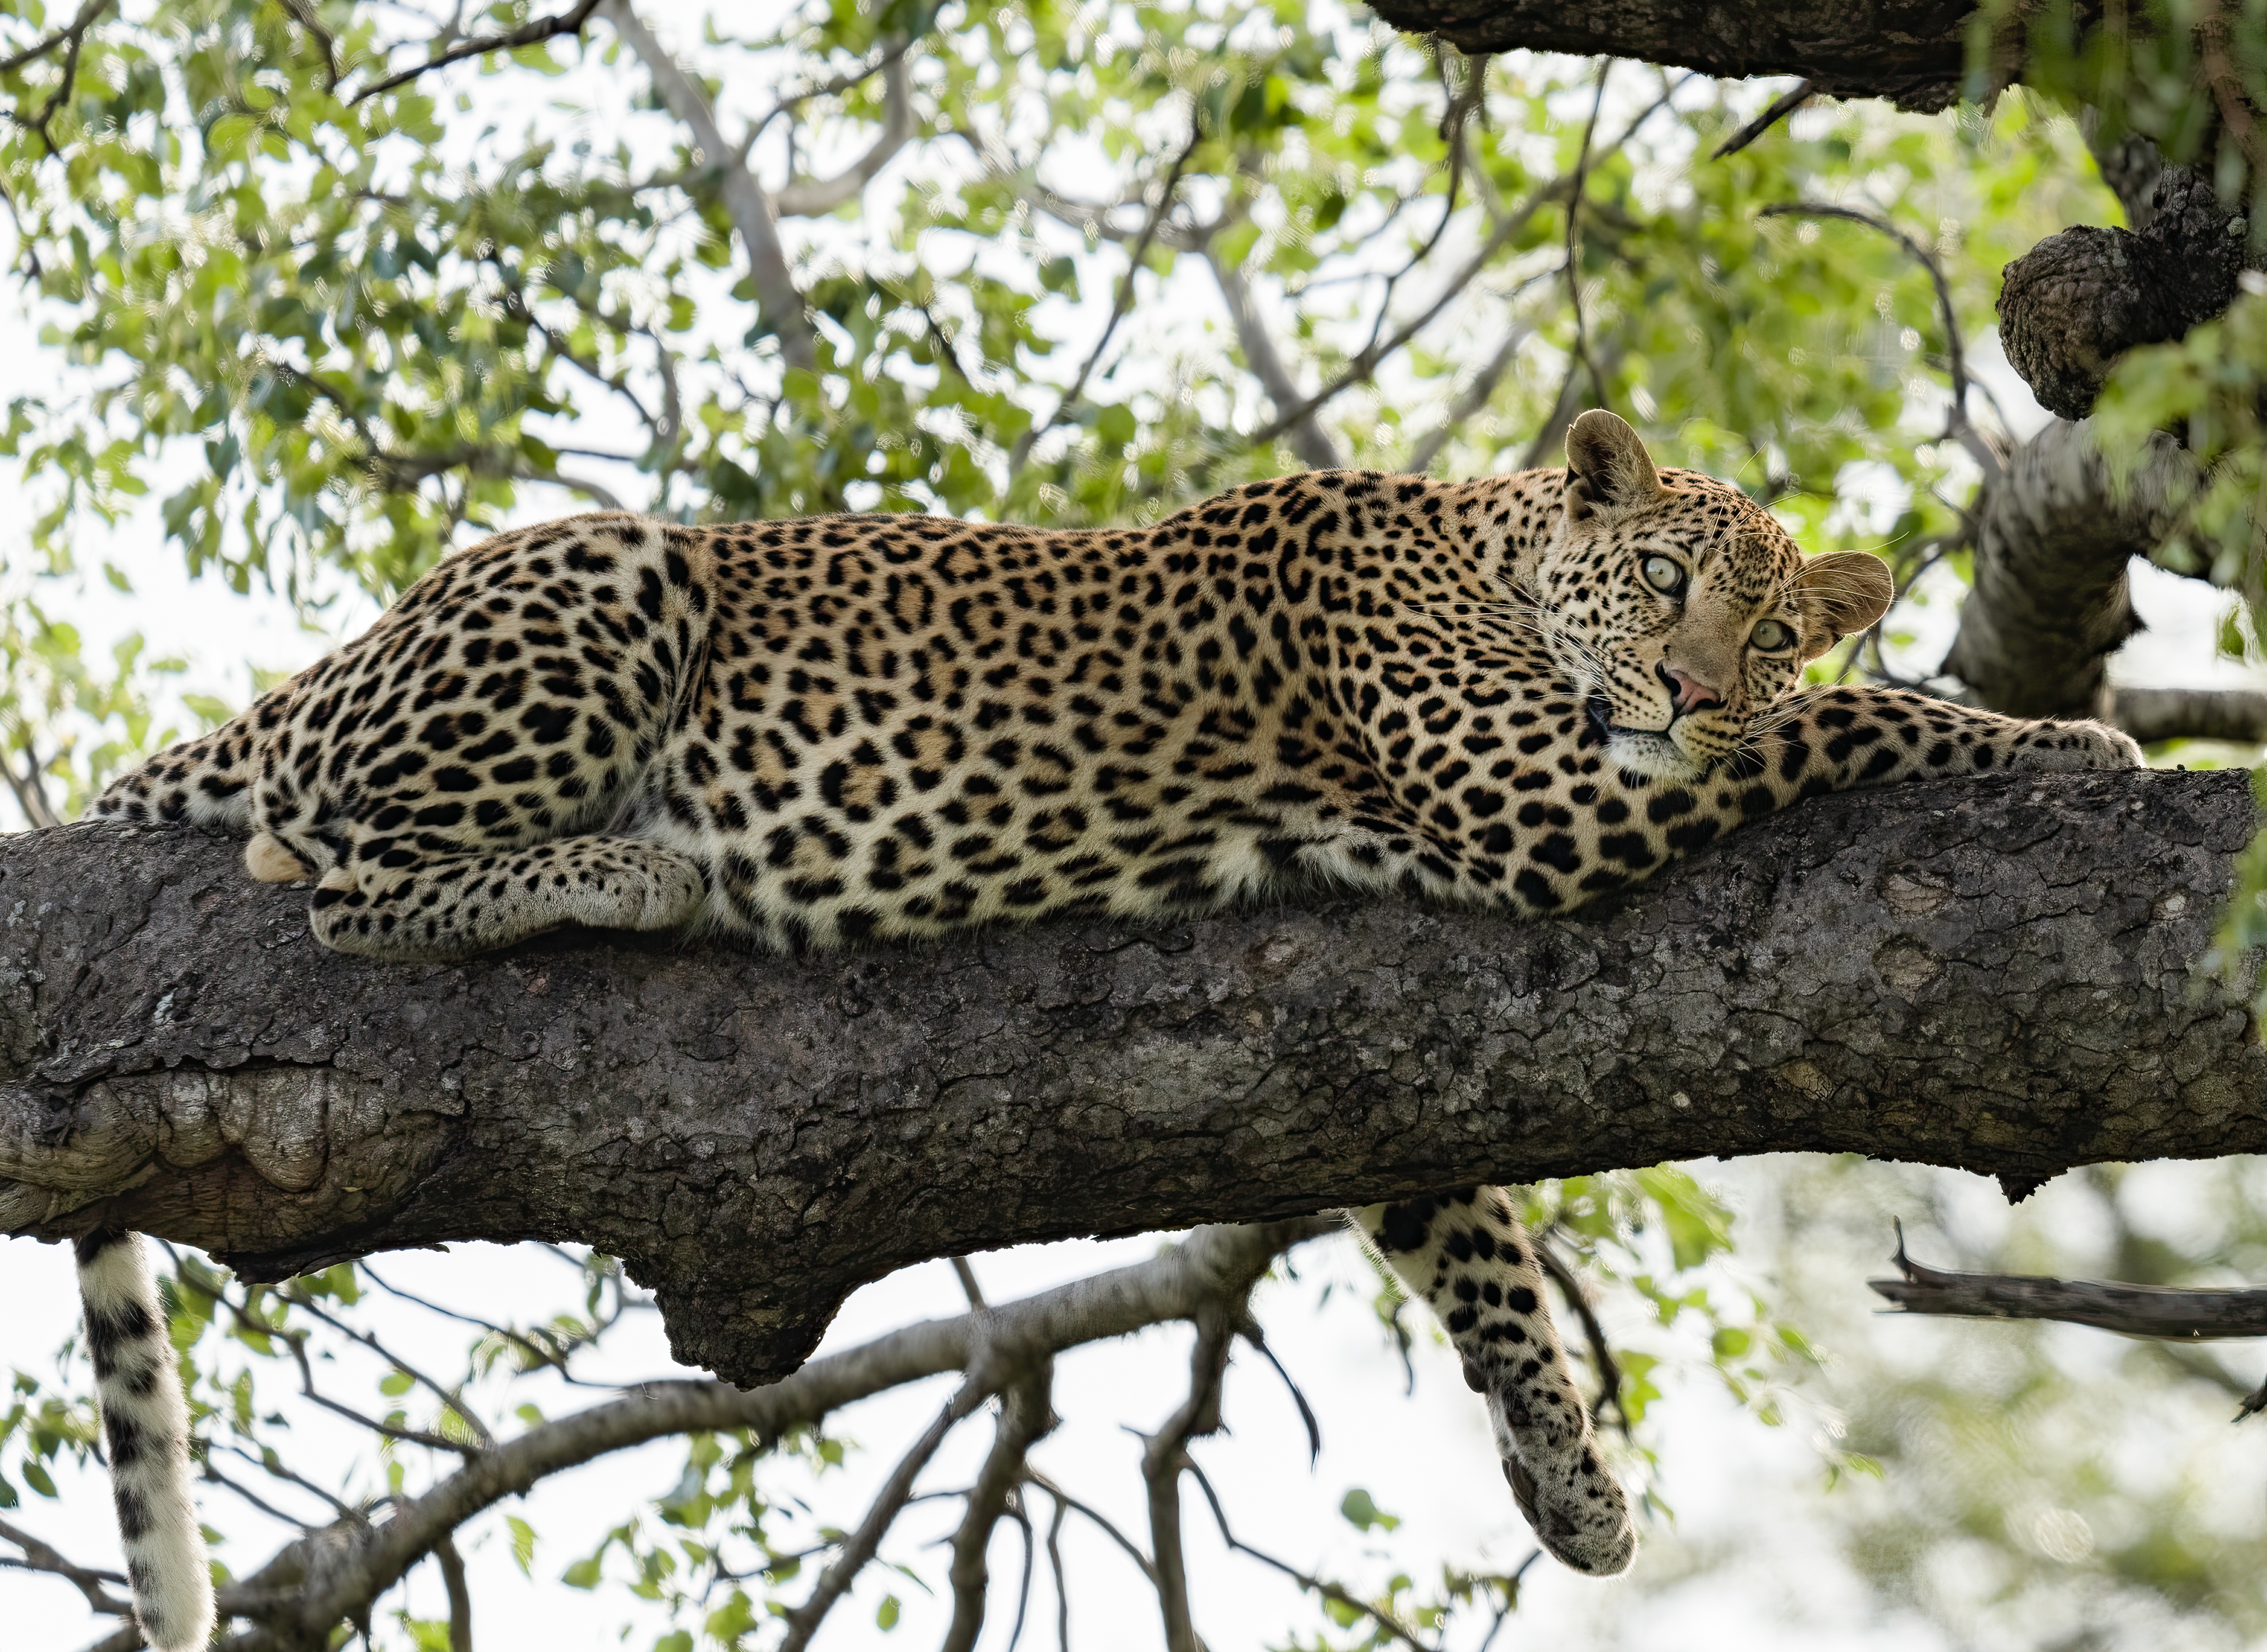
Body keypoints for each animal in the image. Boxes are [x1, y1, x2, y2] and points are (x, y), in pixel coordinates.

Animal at [80, 412, 2139, 1640]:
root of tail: (335, 662)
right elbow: (1869, 721)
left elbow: (1469, 1242)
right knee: (325, 868)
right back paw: (638, 867)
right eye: (1661, 584)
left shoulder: (1395, 1048)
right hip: (603, 576)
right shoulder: (1537, 790)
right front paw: (2072, 740)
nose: (1695, 690)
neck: (1482, 554)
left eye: (1766, 627)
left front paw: (1570, 1479)